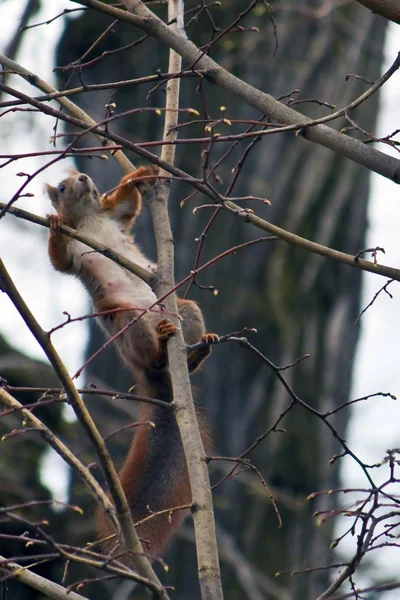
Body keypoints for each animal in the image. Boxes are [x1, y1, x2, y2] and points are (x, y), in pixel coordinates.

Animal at [46, 166, 219, 560]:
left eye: (81, 177)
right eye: (61, 187)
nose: (82, 178)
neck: (89, 220)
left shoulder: (114, 216)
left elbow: (128, 205)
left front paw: (141, 173)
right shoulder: (75, 253)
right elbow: (60, 260)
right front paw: (53, 223)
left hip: (184, 308)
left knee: (186, 326)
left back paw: (196, 352)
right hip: (127, 322)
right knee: (148, 351)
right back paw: (160, 354)